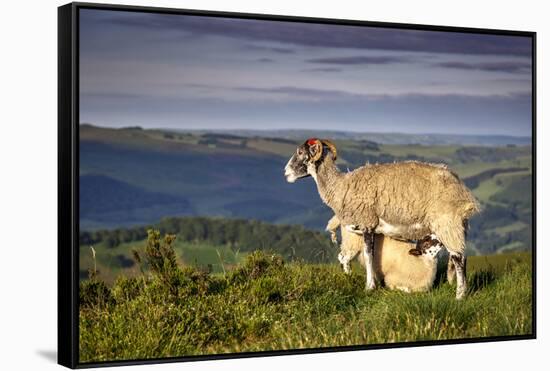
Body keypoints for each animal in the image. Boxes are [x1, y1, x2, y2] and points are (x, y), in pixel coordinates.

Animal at [286, 140, 480, 300]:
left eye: (301, 152)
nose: (285, 172)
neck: (341, 186)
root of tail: (464, 193)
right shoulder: (362, 228)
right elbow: (358, 257)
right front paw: (358, 281)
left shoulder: (367, 223)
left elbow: (368, 255)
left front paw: (369, 287)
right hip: (456, 227)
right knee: (460, 257)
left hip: (447, 224)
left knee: (458, 258)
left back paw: (460, 296)